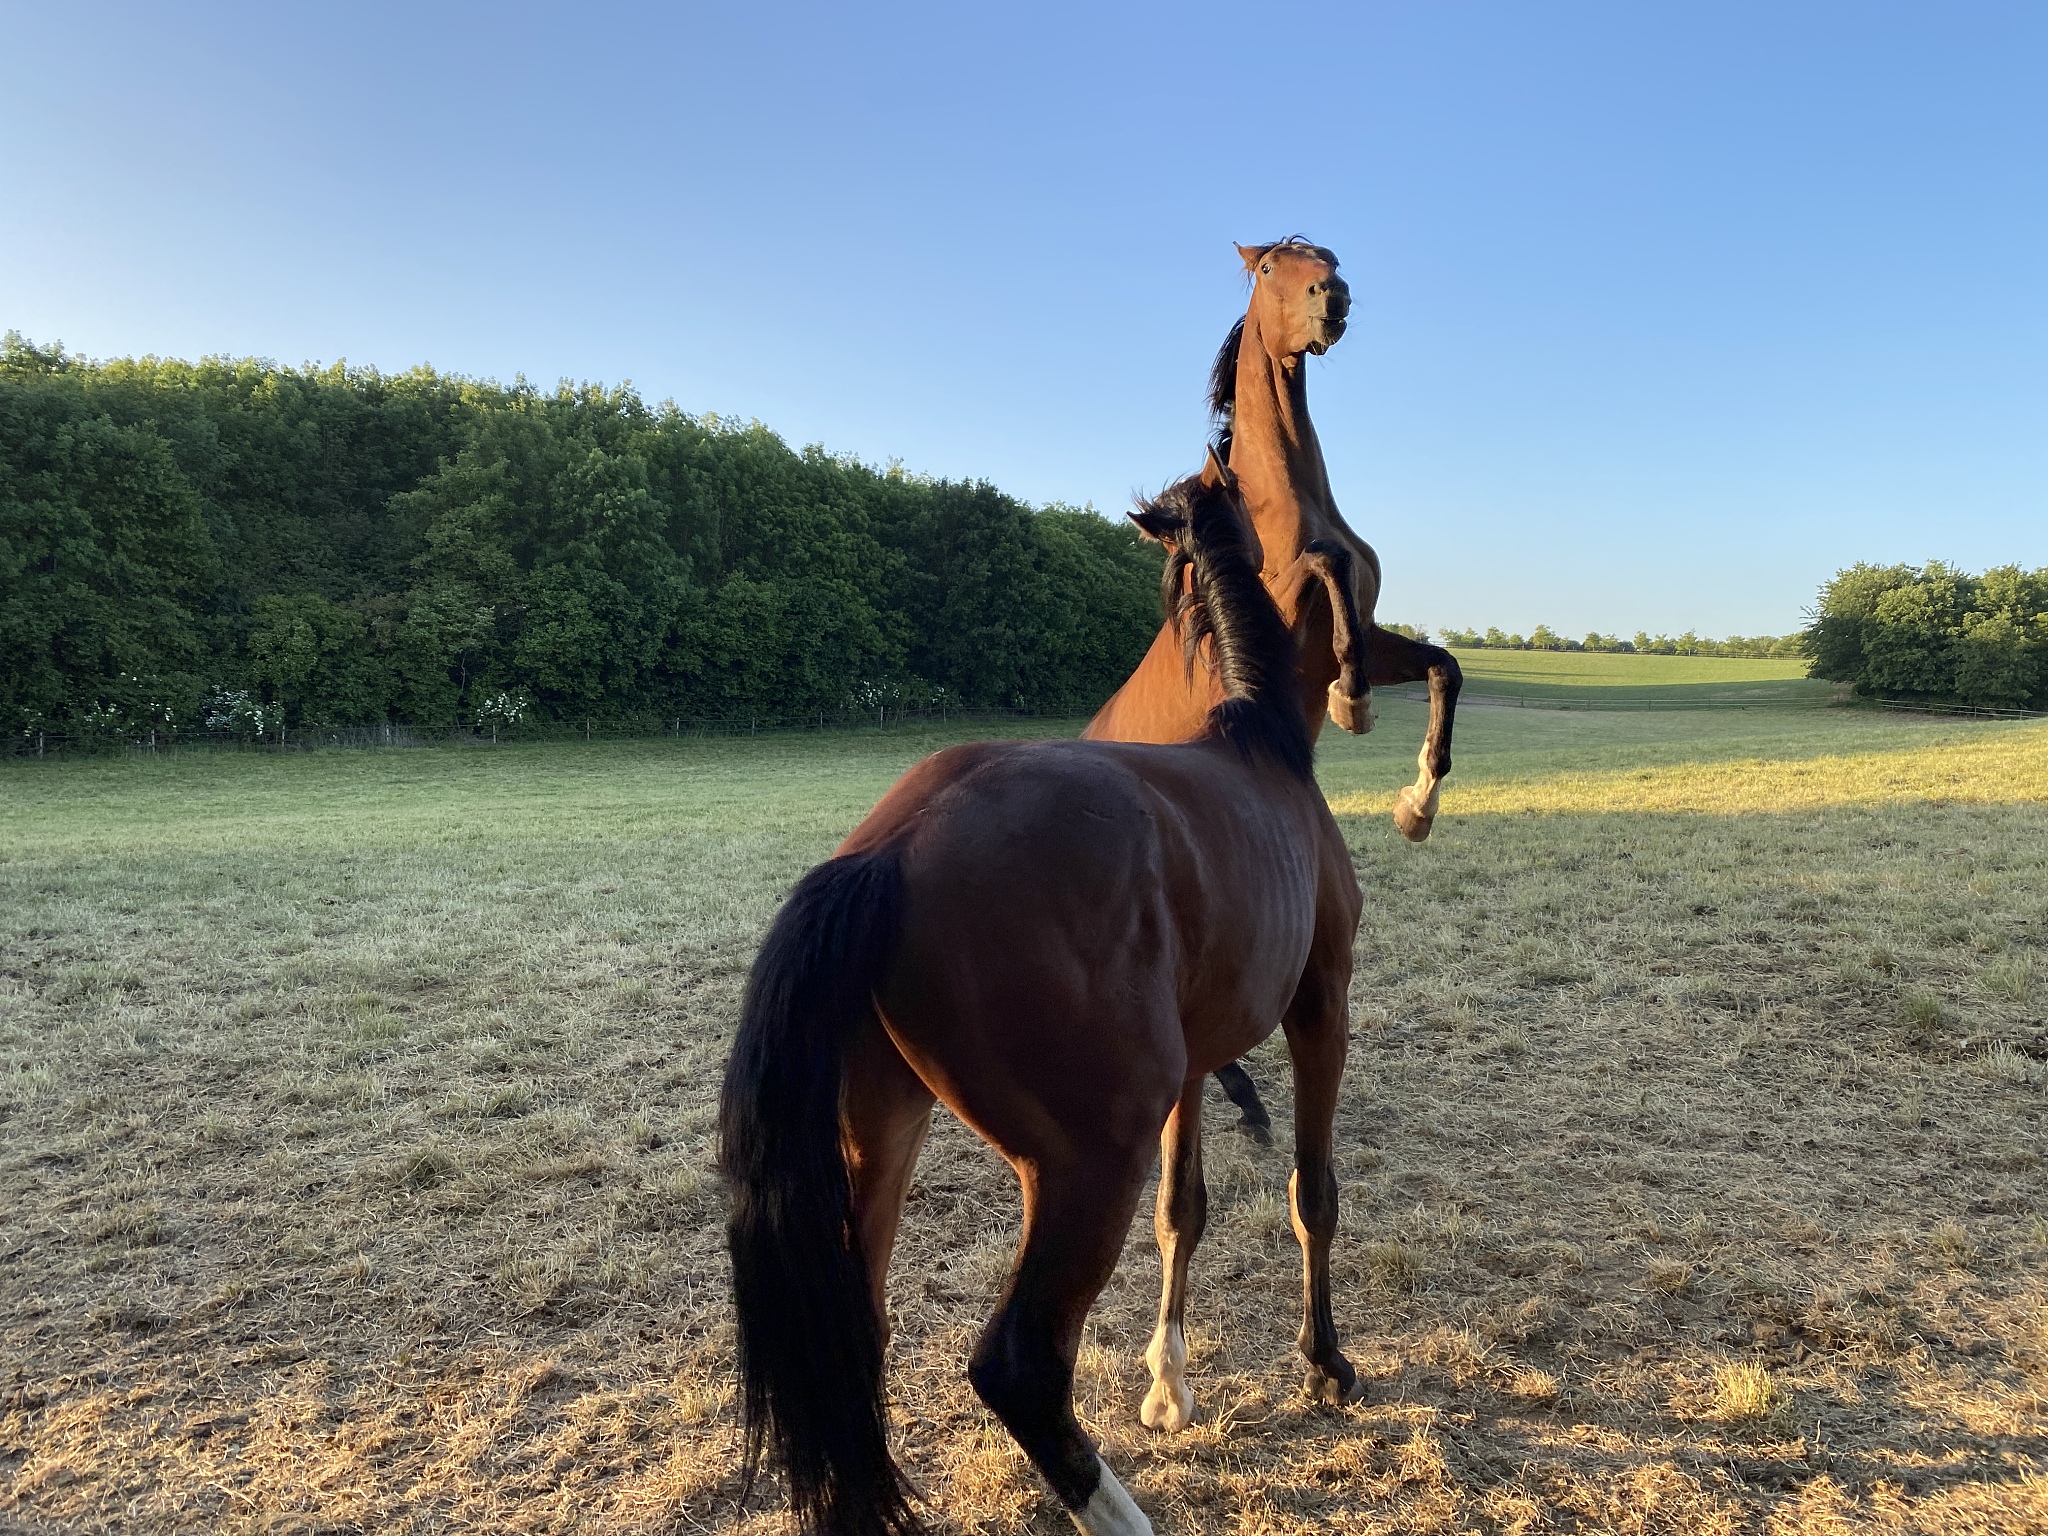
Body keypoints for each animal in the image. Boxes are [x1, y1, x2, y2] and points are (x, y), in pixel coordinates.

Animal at [722, 450, 1363, 1536]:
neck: (1261, 744)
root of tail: (887, 853)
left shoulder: (1193, 1068)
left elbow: (1182, 1211)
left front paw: (1167, 1385)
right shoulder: (1321, 1007)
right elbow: (1309, 1192)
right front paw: (1323, 1364)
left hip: (886, 1129)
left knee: (859, 1329)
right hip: (1086, 1162)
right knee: (1019, 1367)